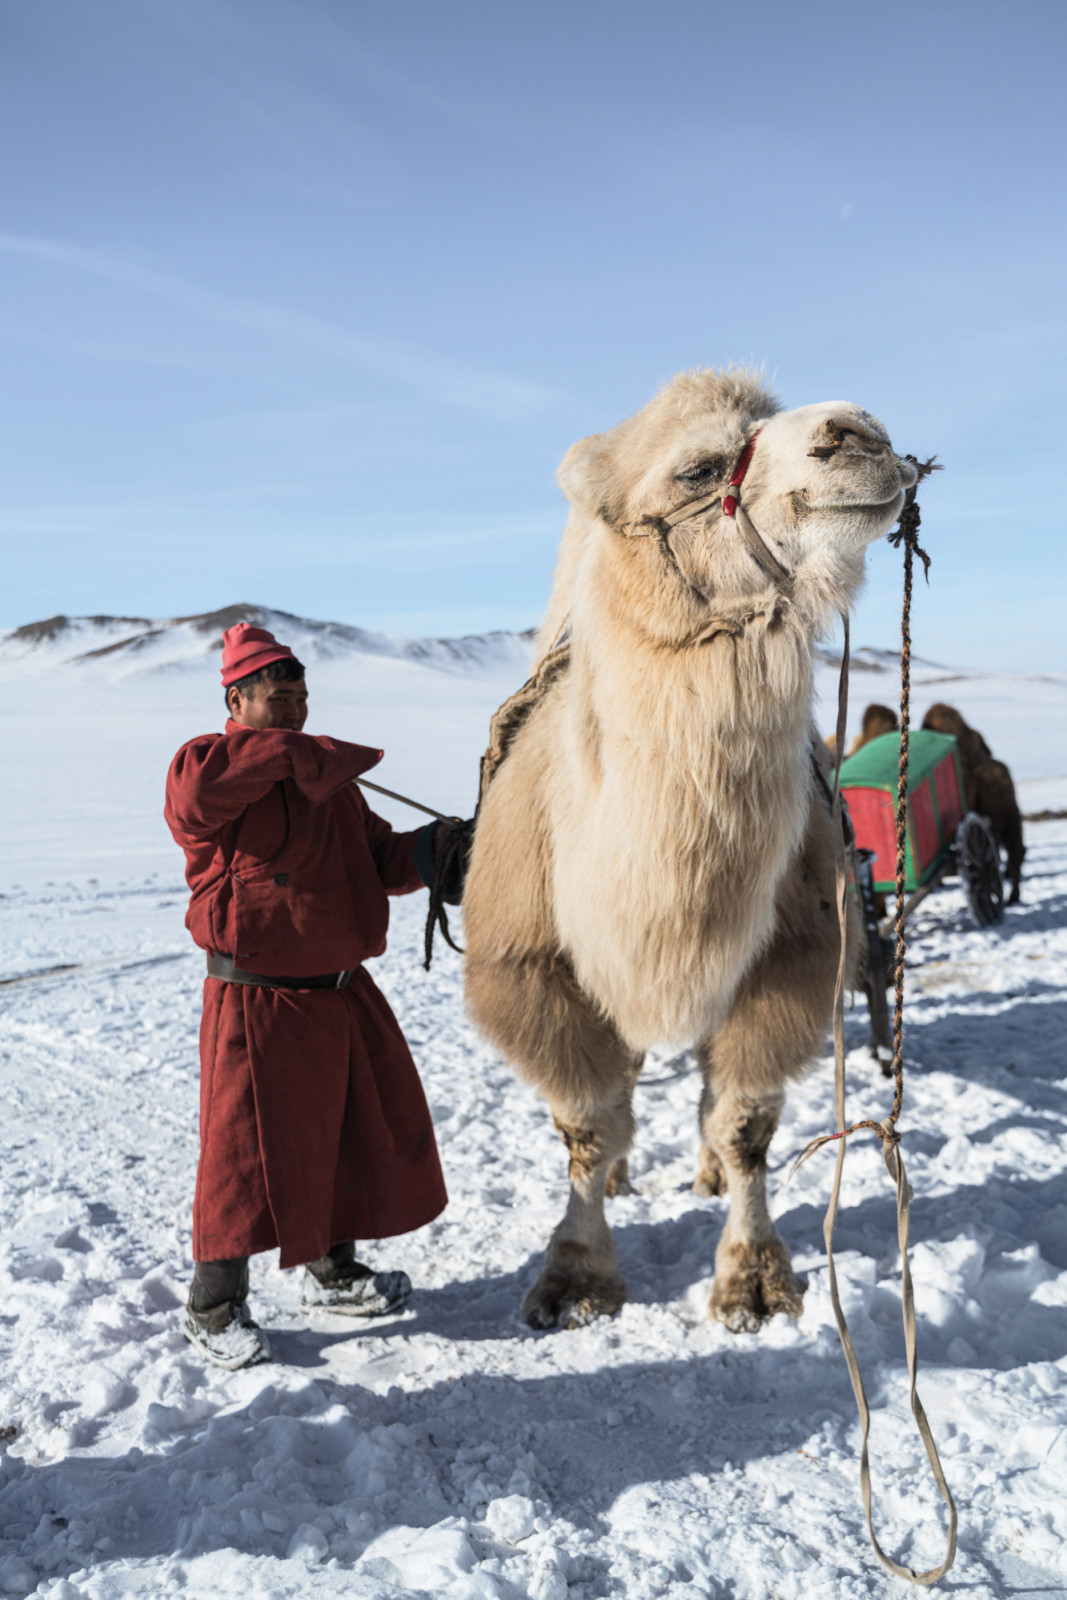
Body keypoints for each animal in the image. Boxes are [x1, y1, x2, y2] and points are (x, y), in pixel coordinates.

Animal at [463, 369, 918, 1334]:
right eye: (700, 468)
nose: (859, 435)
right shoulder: (533, 968)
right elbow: (587, 1126)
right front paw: (575, 1276)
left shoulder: (792, 956)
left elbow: (744, 1125)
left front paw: (753, 1280)